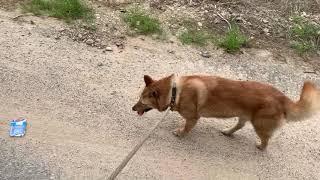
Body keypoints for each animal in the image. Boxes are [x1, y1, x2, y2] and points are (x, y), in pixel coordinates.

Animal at [131, 74, 318, 150]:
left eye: (141, 101)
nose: (133, 108)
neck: (175, 91)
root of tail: (283, 98)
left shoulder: (193, 117)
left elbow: (186, 128)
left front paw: (180, 133)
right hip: (243, 116)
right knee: (239, 126)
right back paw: (228, 131)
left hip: (260, 125)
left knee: (266, 140)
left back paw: (260, 147)